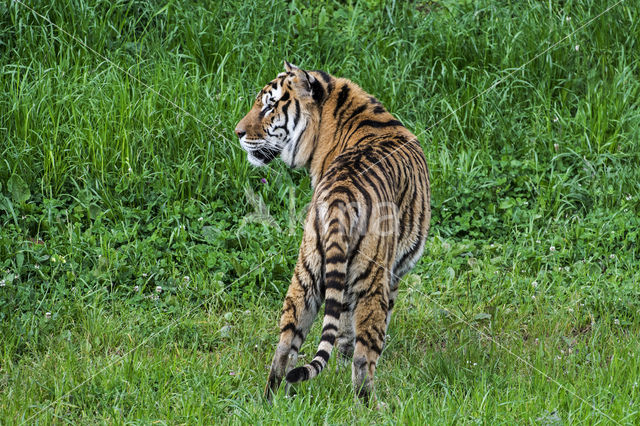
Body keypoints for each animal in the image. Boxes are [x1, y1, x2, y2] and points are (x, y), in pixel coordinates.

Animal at [234, 60, 430, 402]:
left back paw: (273, 399)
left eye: (269, 106)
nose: (237, 132)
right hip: (372, 278)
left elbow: (341, 326)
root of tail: (340, 196)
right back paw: (369, 404)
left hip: (307, 269)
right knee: (367, 353)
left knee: (285, 342)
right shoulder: (393, 274)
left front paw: (339, 363)